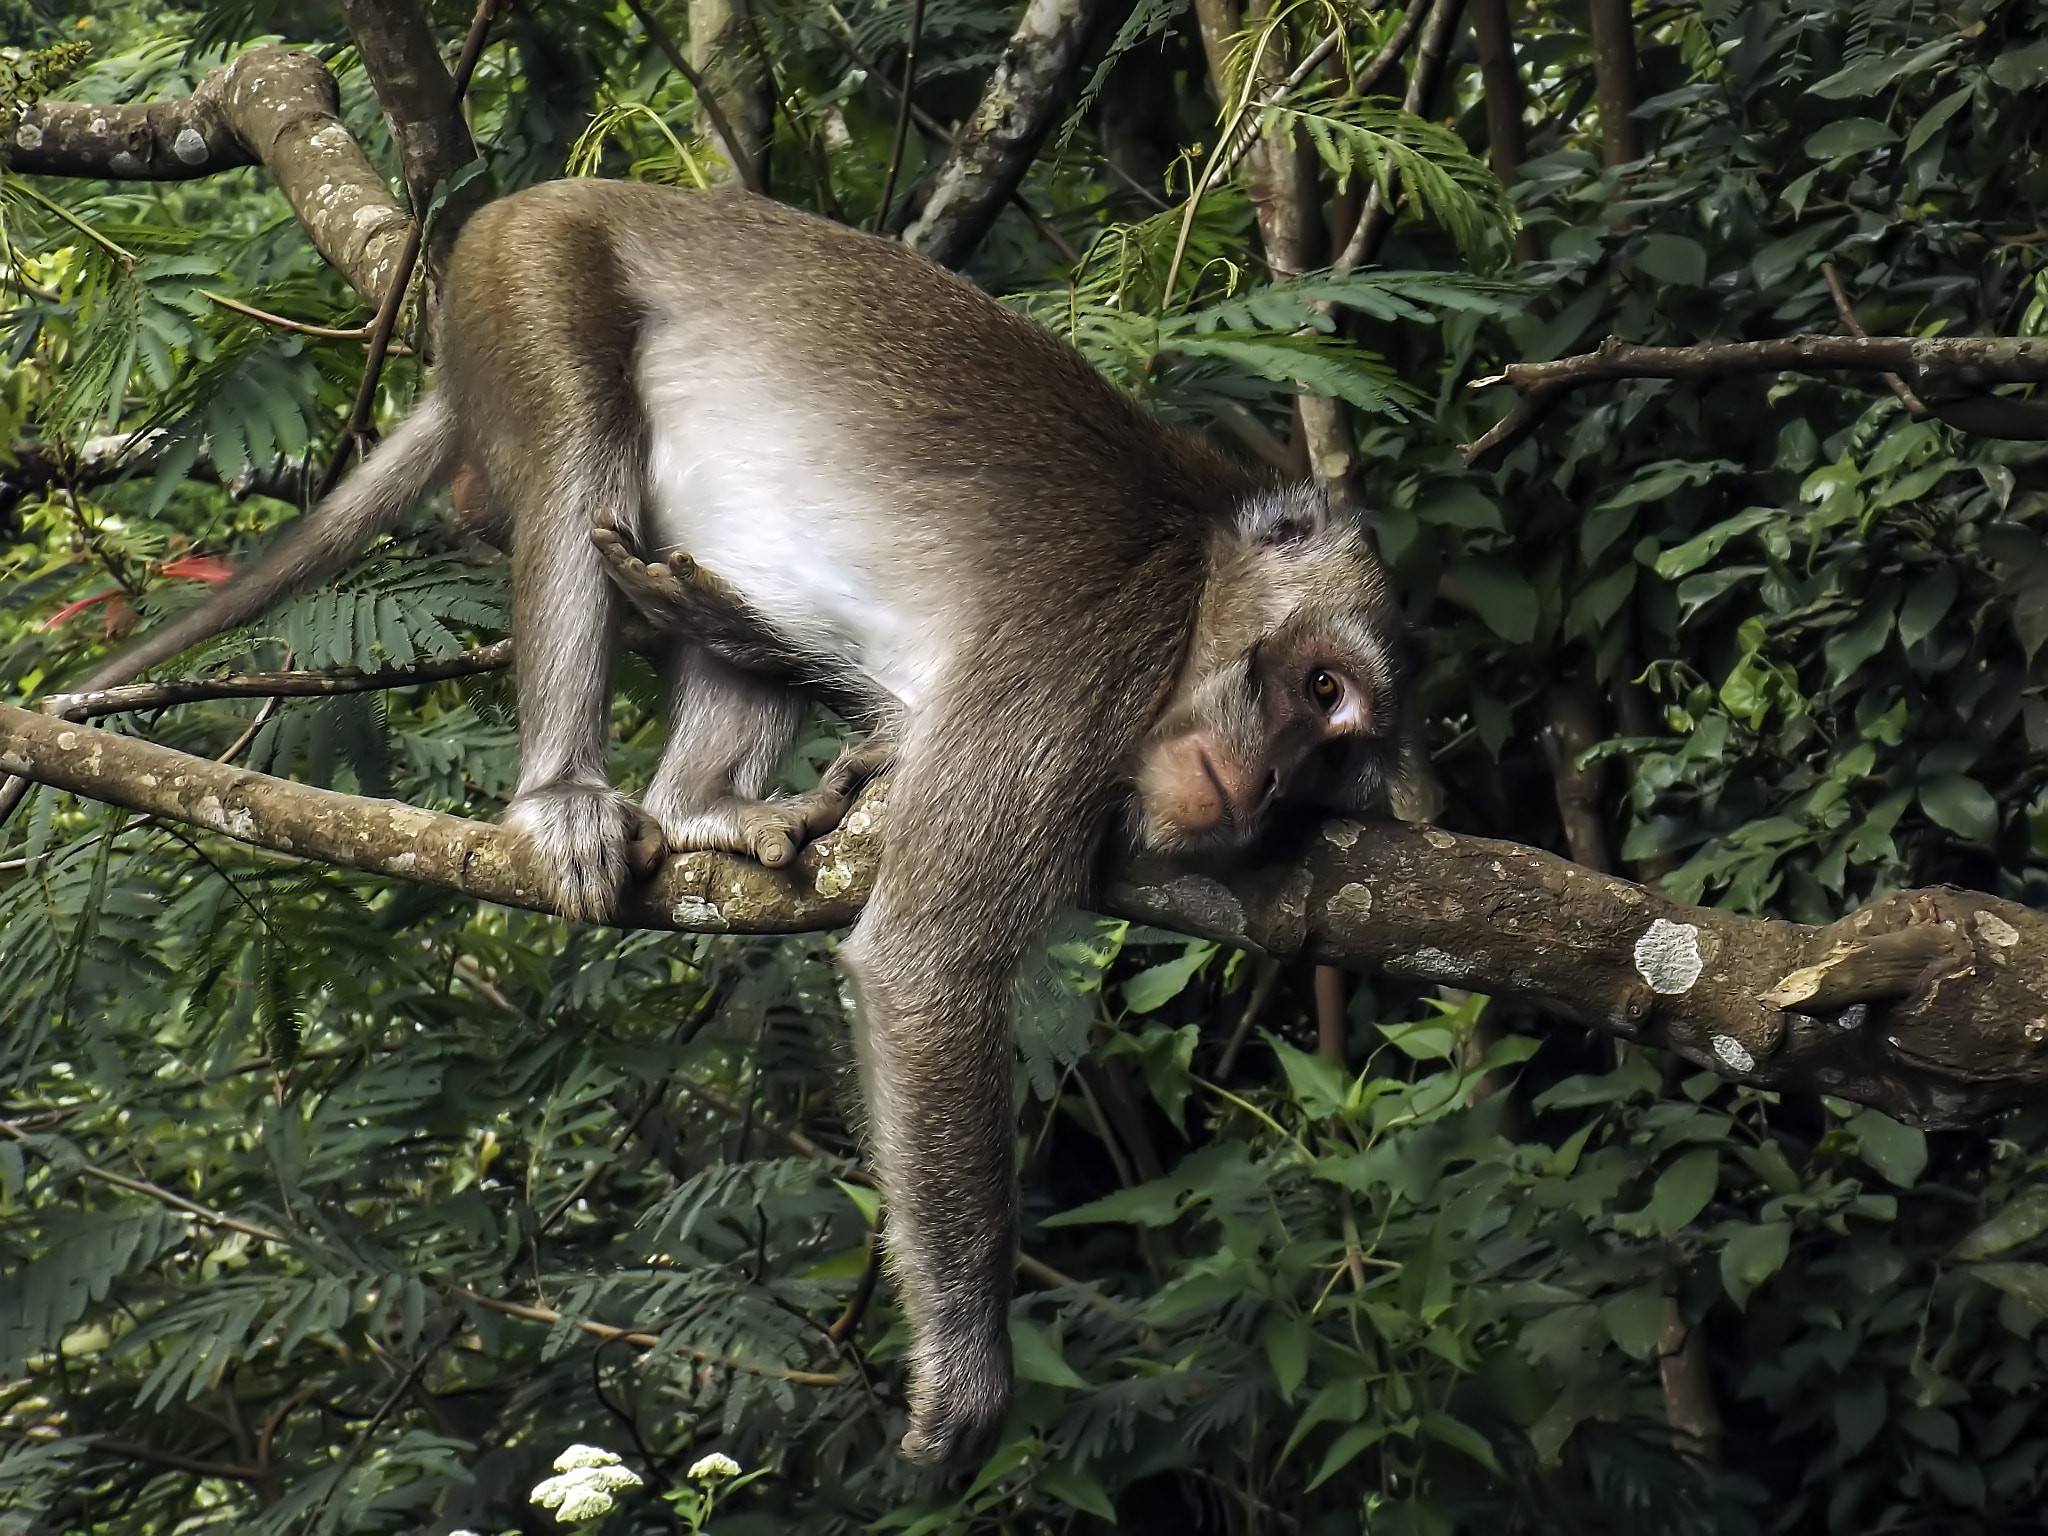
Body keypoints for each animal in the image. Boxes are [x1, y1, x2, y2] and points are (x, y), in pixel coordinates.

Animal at [51, 180, 1425, 1466]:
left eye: (1328, 764)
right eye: (1320, 691)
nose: (1265, 785)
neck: (1195, 579)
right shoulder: (1082, 657)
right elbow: (926, 965)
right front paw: (966, 1375)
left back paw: (702, 786)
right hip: (527, 271)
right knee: (576, 453)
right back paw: (564, 790)